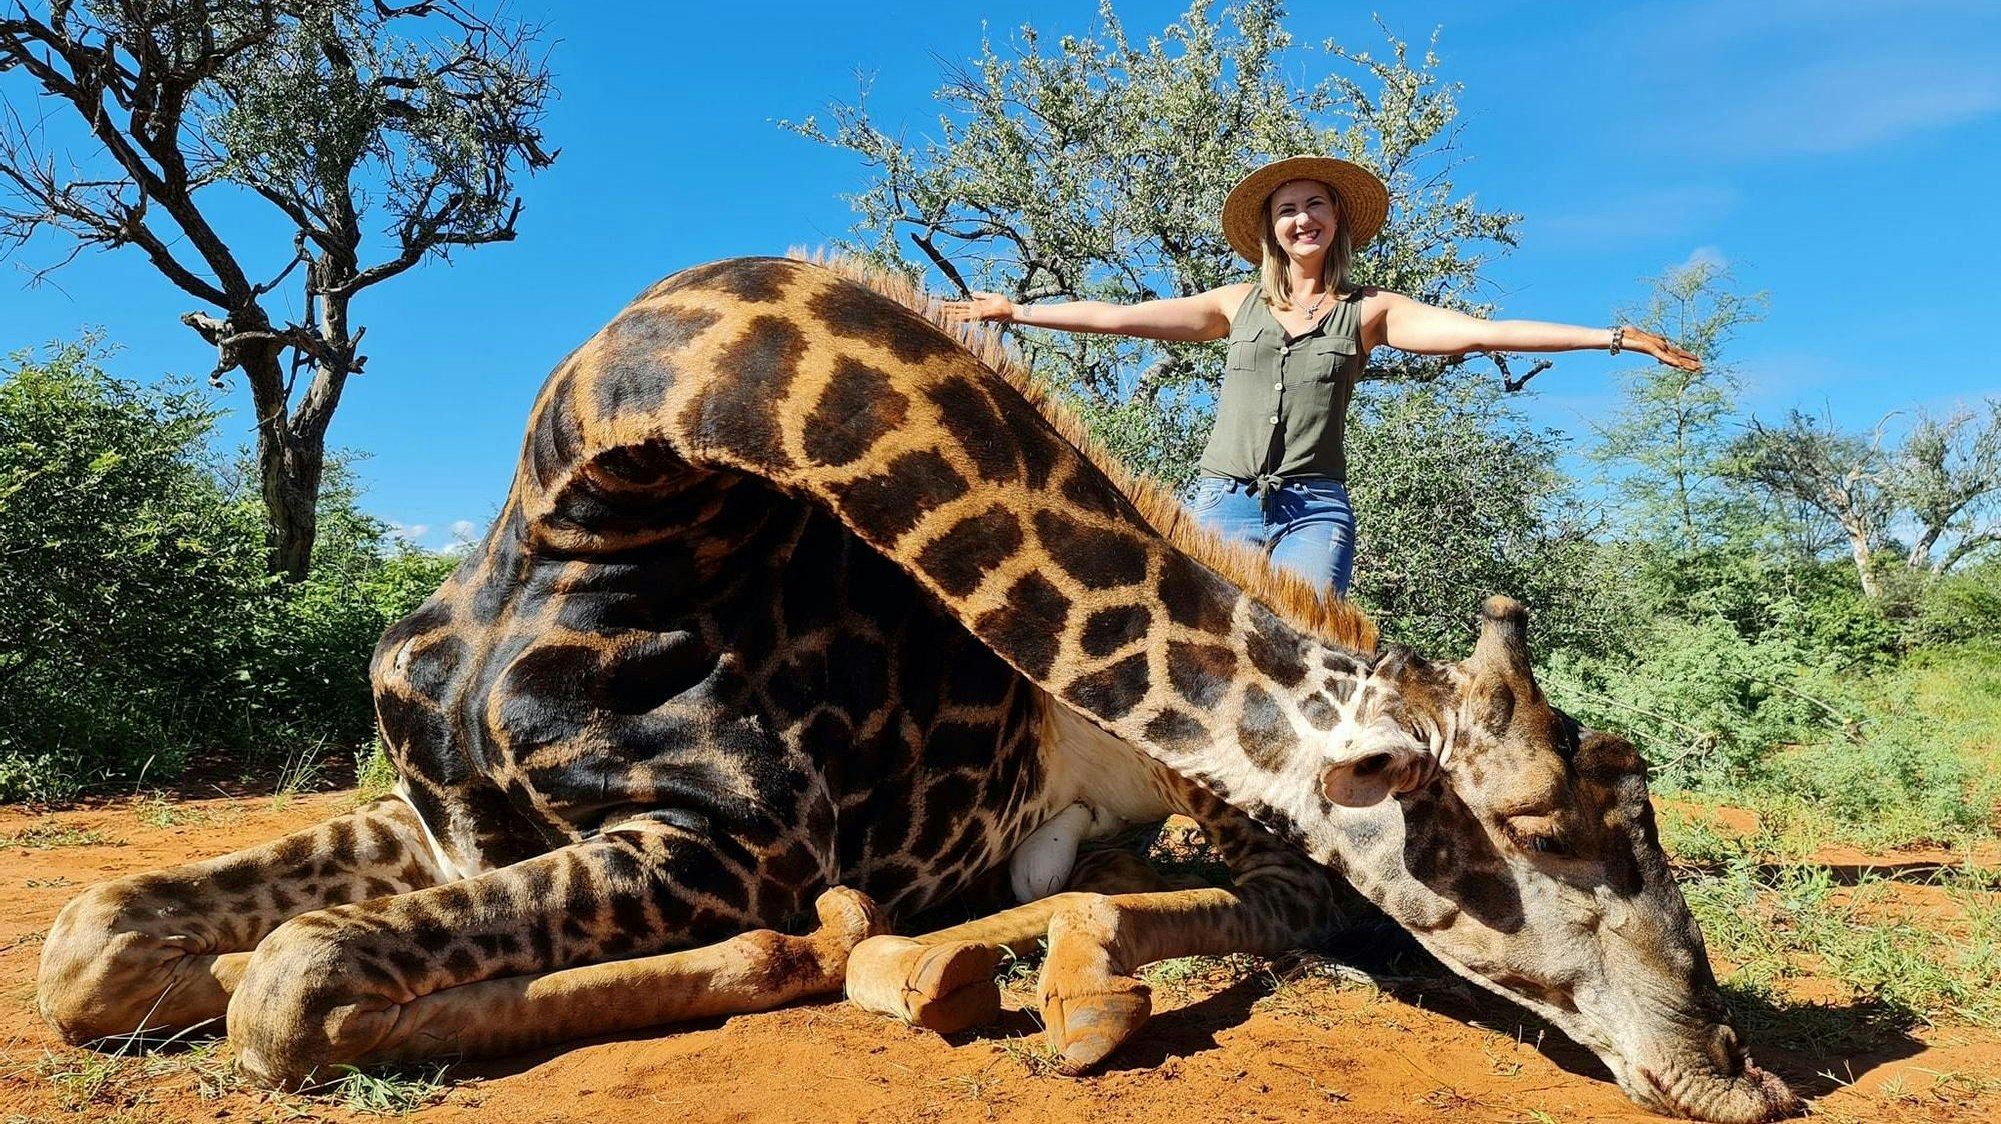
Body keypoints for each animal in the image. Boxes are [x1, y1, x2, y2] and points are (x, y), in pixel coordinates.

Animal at [35, 255, 1798, 1123]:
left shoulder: (723, 846)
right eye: (1551, 840)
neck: (595, 503)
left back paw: (1010, 977)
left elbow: (290, 988)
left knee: (1284, 904)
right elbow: (92, 945)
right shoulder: (441, 813)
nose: (1742, 1077)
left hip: (1201, 811)